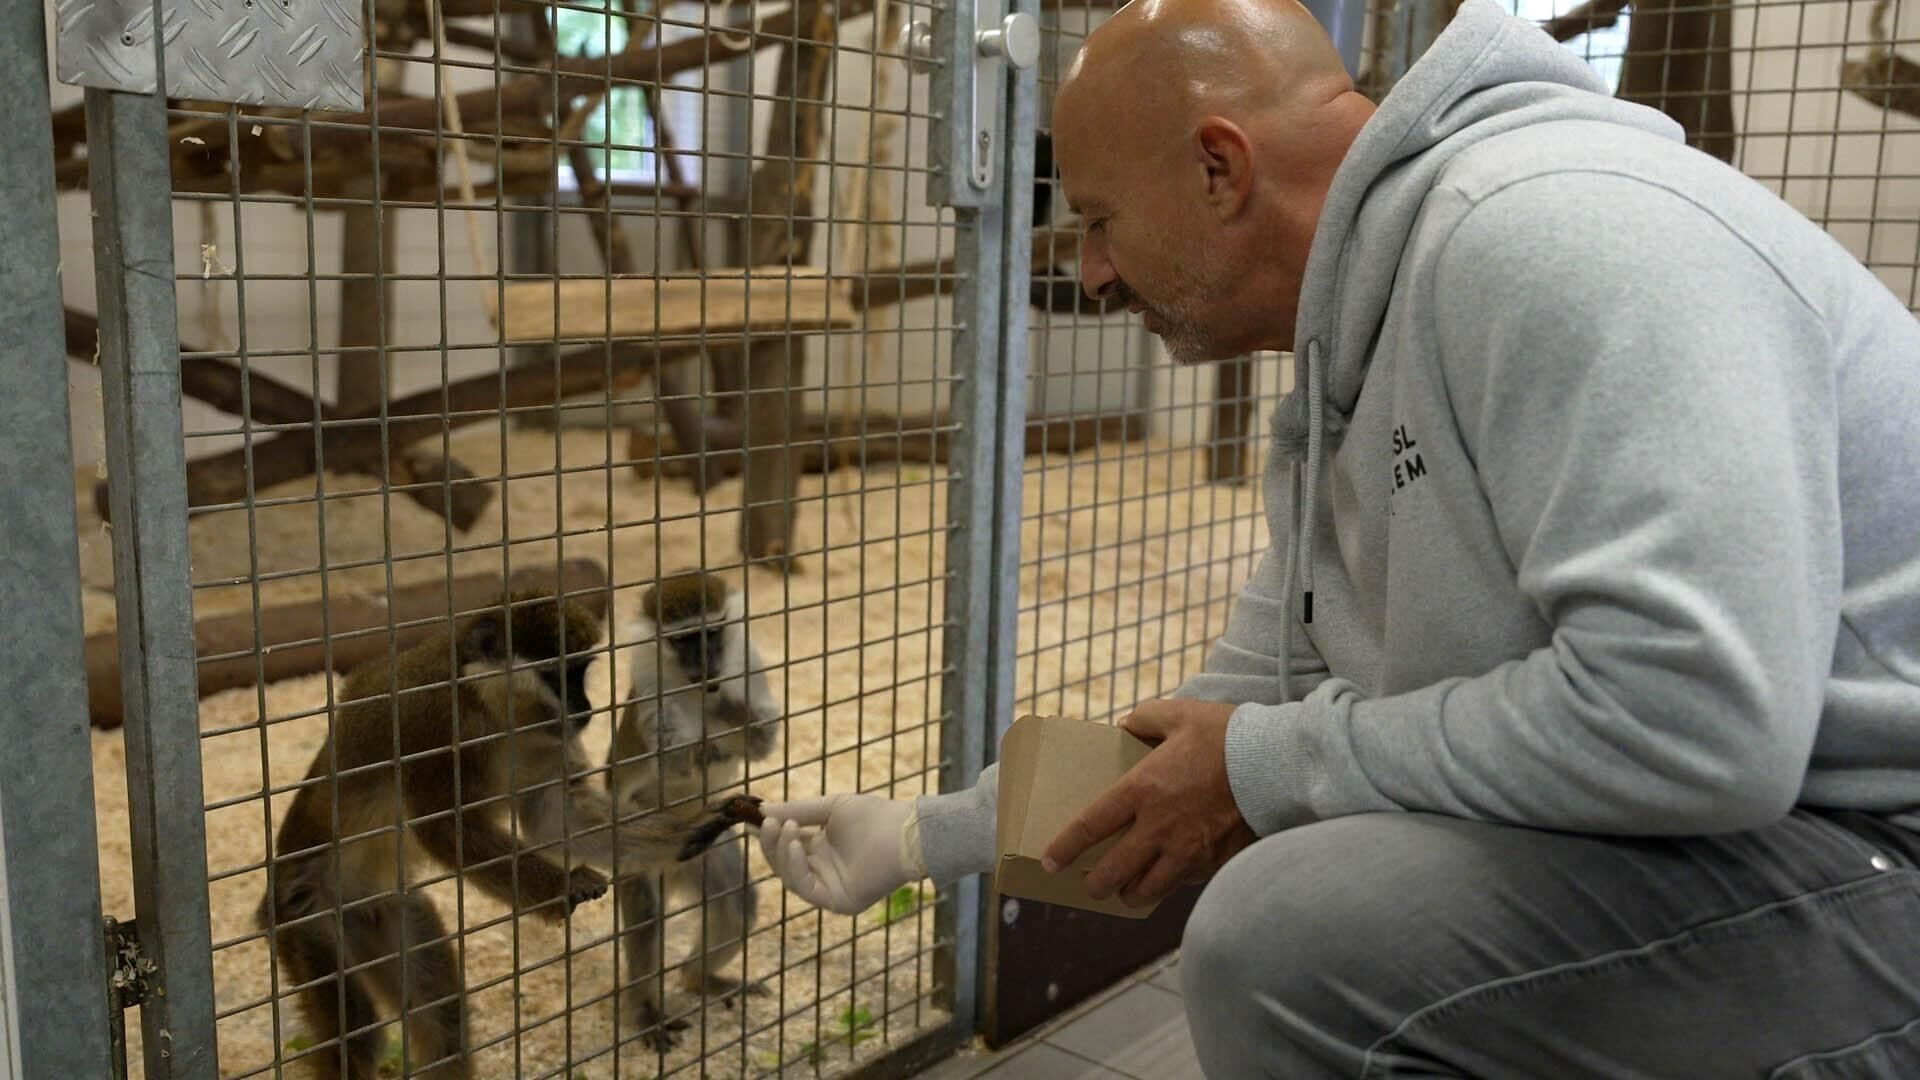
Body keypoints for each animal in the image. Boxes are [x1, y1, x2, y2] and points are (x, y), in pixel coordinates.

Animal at [261, 588, 748, 1076]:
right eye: (558, 675)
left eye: (580, 671)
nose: (585, 708)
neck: (492, 709)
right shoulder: (434, 725)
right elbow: (446, 829)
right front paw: (564, 887)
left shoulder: (544, 741)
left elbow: (556, 814)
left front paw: (686, 832)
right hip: (308, 923)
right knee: (356, 1039)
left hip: (382, 914)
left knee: (442, 1019)